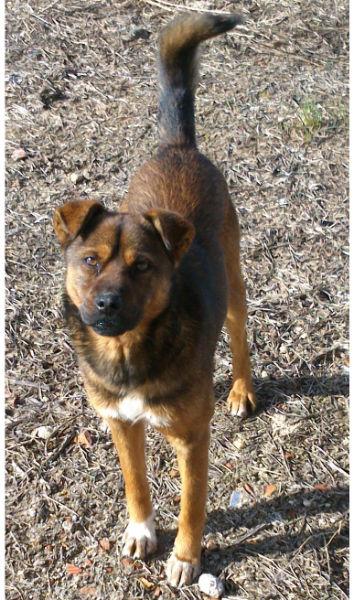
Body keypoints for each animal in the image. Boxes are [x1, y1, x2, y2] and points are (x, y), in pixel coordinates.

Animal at [52, 12, 256, 584]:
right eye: (91, 261)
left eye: (142, 265)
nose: (106, 304)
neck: (129, 353)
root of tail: (177, 147)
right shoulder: (121, 423)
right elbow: (136, 482)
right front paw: (142, 531)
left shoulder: (193, 437)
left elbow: (193, 503)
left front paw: (186, 556)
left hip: (234, 281)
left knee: (239, 332)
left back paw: (241, 389)